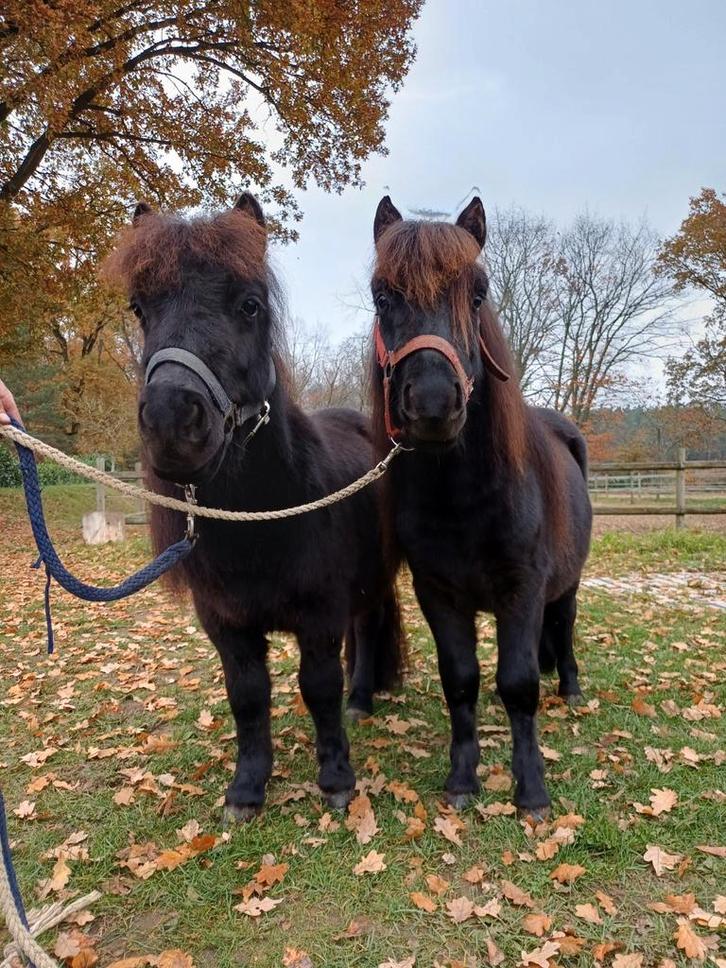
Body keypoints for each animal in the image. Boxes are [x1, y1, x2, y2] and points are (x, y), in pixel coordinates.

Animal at [101, 193, 403, 821]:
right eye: (140, 309)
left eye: (249, 305)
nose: (171, 420)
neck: (261, 523)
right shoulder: (226, 625)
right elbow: (247, 697)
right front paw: (247, 788)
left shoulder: (319, 616)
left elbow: (318, 689)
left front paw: (336, 779)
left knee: (370, 626)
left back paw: (363, 697)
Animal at [359, 195, 592, 819]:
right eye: (381, 295)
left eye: (480, 293)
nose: (433, 404)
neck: (464, 495)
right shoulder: (437, 594)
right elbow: (461, 679)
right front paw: (463, 779)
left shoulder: (524, 588)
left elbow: (519, 684)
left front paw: (530, 790)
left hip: (565, 585)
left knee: (563, 627)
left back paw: (572, 690)